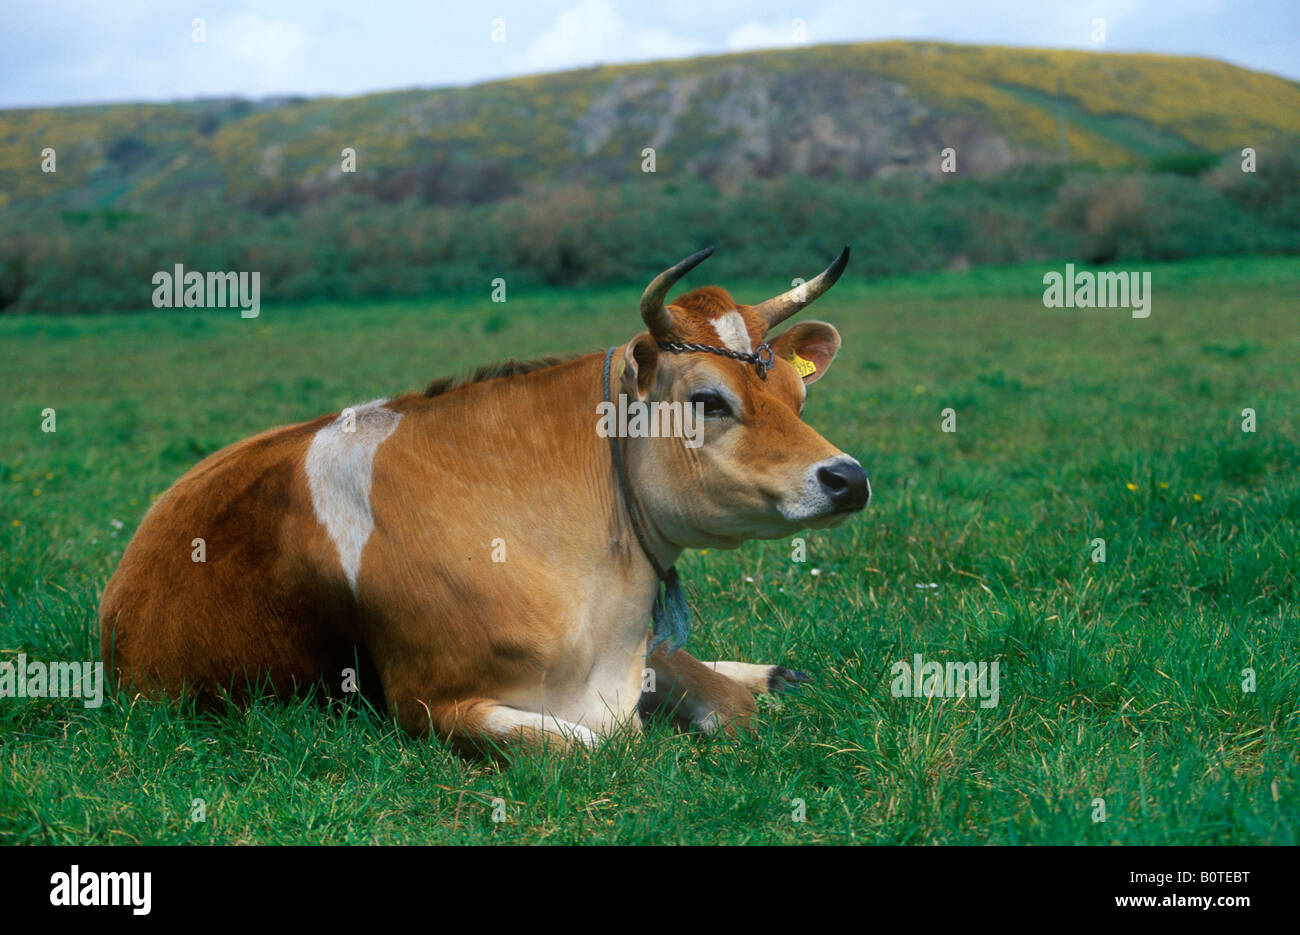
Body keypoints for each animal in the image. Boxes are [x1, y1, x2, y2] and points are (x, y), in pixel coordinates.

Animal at [99, 246, 870, 755]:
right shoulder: (430, 703)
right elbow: (597, 748)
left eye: (798, 397)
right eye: (708, 399)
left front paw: (758, 680)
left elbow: (725, 700)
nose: (850, 477)